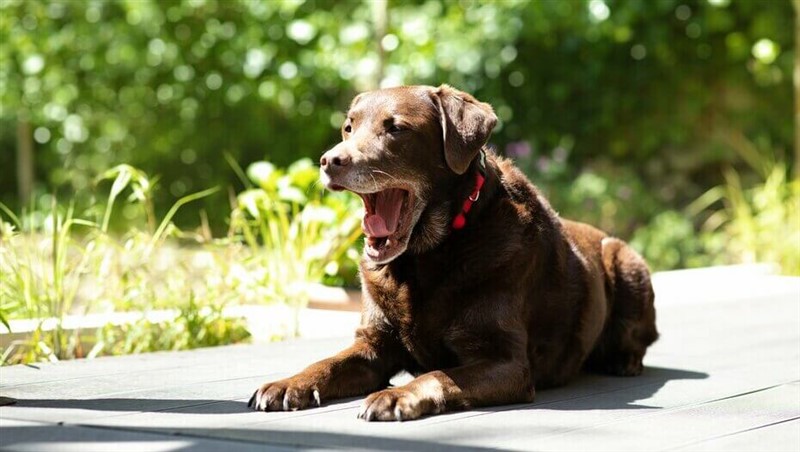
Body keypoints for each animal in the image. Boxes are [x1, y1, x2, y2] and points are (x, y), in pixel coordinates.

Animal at [248, 84, 656, 420]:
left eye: (396, 128)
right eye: (348, 128)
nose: (330, 160)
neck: (424, 258)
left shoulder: (506, 363)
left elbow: (439, 374)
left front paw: (395, 396)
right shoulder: (372, 346)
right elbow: (326, 363)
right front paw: (288, 383)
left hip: (626, 260)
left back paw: (623, 360)